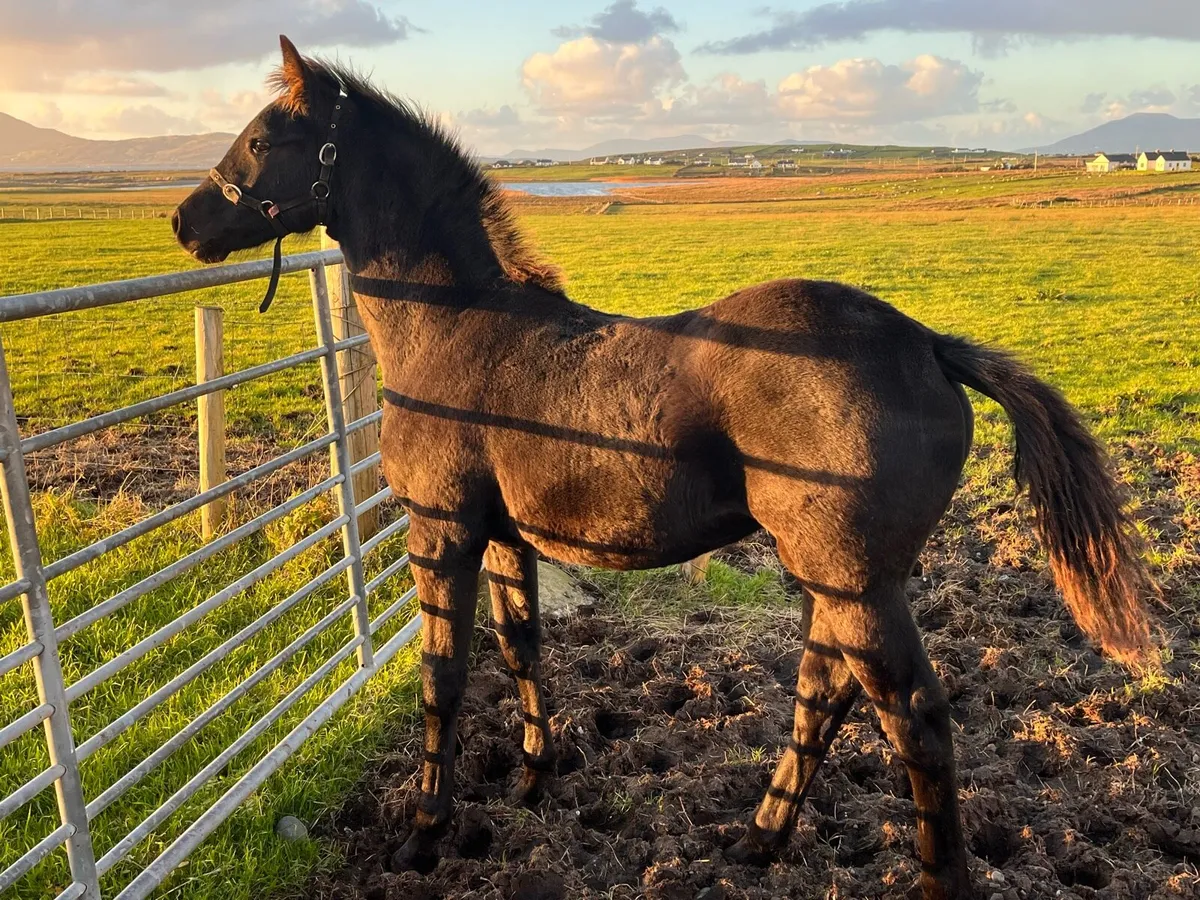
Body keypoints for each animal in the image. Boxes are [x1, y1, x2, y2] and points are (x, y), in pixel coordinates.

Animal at [173, 37, 1154, 899]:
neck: (456, 326)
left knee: (911, 717)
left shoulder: (440, 532)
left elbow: (442, 675)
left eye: (261, 139)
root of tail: (926, 345)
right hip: (846, 580)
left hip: (853, 579)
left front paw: (423, 833)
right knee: (825, 690)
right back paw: (758, 838)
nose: (185, 221)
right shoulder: (505, 536)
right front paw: (533, 779)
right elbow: (523, 644)